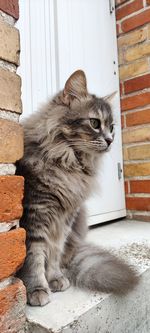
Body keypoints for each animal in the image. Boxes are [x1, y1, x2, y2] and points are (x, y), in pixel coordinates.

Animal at [16, 70, 138, 306]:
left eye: (112, 128)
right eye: (94, 123)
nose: (110, 140)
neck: (68, 163)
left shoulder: (65, 218)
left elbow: (54, 251)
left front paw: (54, 278)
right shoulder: (36, 213)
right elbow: (35, 257)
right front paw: (37, 288)